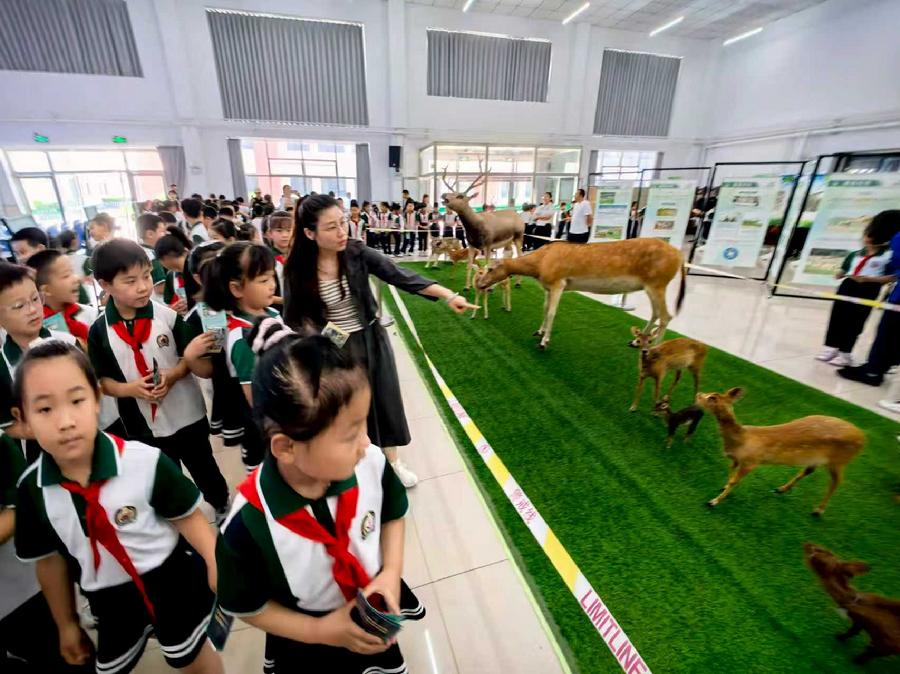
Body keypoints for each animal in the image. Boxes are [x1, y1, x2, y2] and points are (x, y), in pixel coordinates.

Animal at [440, 161, 525, 291]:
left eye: (460, 196)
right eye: (451, 193)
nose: (444, 195)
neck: (475, 229)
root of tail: (519, 216)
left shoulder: (488, 244)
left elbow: (487, 265)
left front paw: (488, 287)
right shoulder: (470, 244)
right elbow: (469, 265)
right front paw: (467, 286)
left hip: (519, 236)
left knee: (519, 255)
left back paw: (518, 283)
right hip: (508, 241)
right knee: (509, 254)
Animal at [475, 238, 686, 350]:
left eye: (490, 269)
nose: (481, 284)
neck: (539, 265)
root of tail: (679, 256)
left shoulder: (559, 283)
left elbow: (551, 312)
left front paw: (544, 342)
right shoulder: (548, 286)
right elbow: (544, 308)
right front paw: (539, 331)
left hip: (658, 283)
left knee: (667, 315)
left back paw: (654, 349)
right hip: (651, 286)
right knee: (656, 313)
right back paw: (636, 340)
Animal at [696, 388, 864, 516]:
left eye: (712, 398)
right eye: (711, 393)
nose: (698, 394)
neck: (742, 440)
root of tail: (863, 438)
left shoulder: (752, 461)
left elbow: (734, 481)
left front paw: (713, 501)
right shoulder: (737, 459)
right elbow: (731, 474)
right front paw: (723, 488)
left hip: (839, 460)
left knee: (836, 481)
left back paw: (818, 510)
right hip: (817, 459)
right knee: (809, 470)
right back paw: (781, 489)